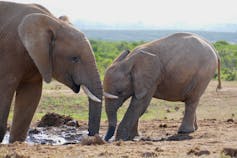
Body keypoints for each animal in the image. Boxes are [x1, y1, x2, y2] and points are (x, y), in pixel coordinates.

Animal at [0, 1, 103, 142]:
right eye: (74, 58)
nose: (93, 138)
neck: (52, 22)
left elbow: (31, 95)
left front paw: (16, 142)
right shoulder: (9, 51)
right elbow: (4, 89)